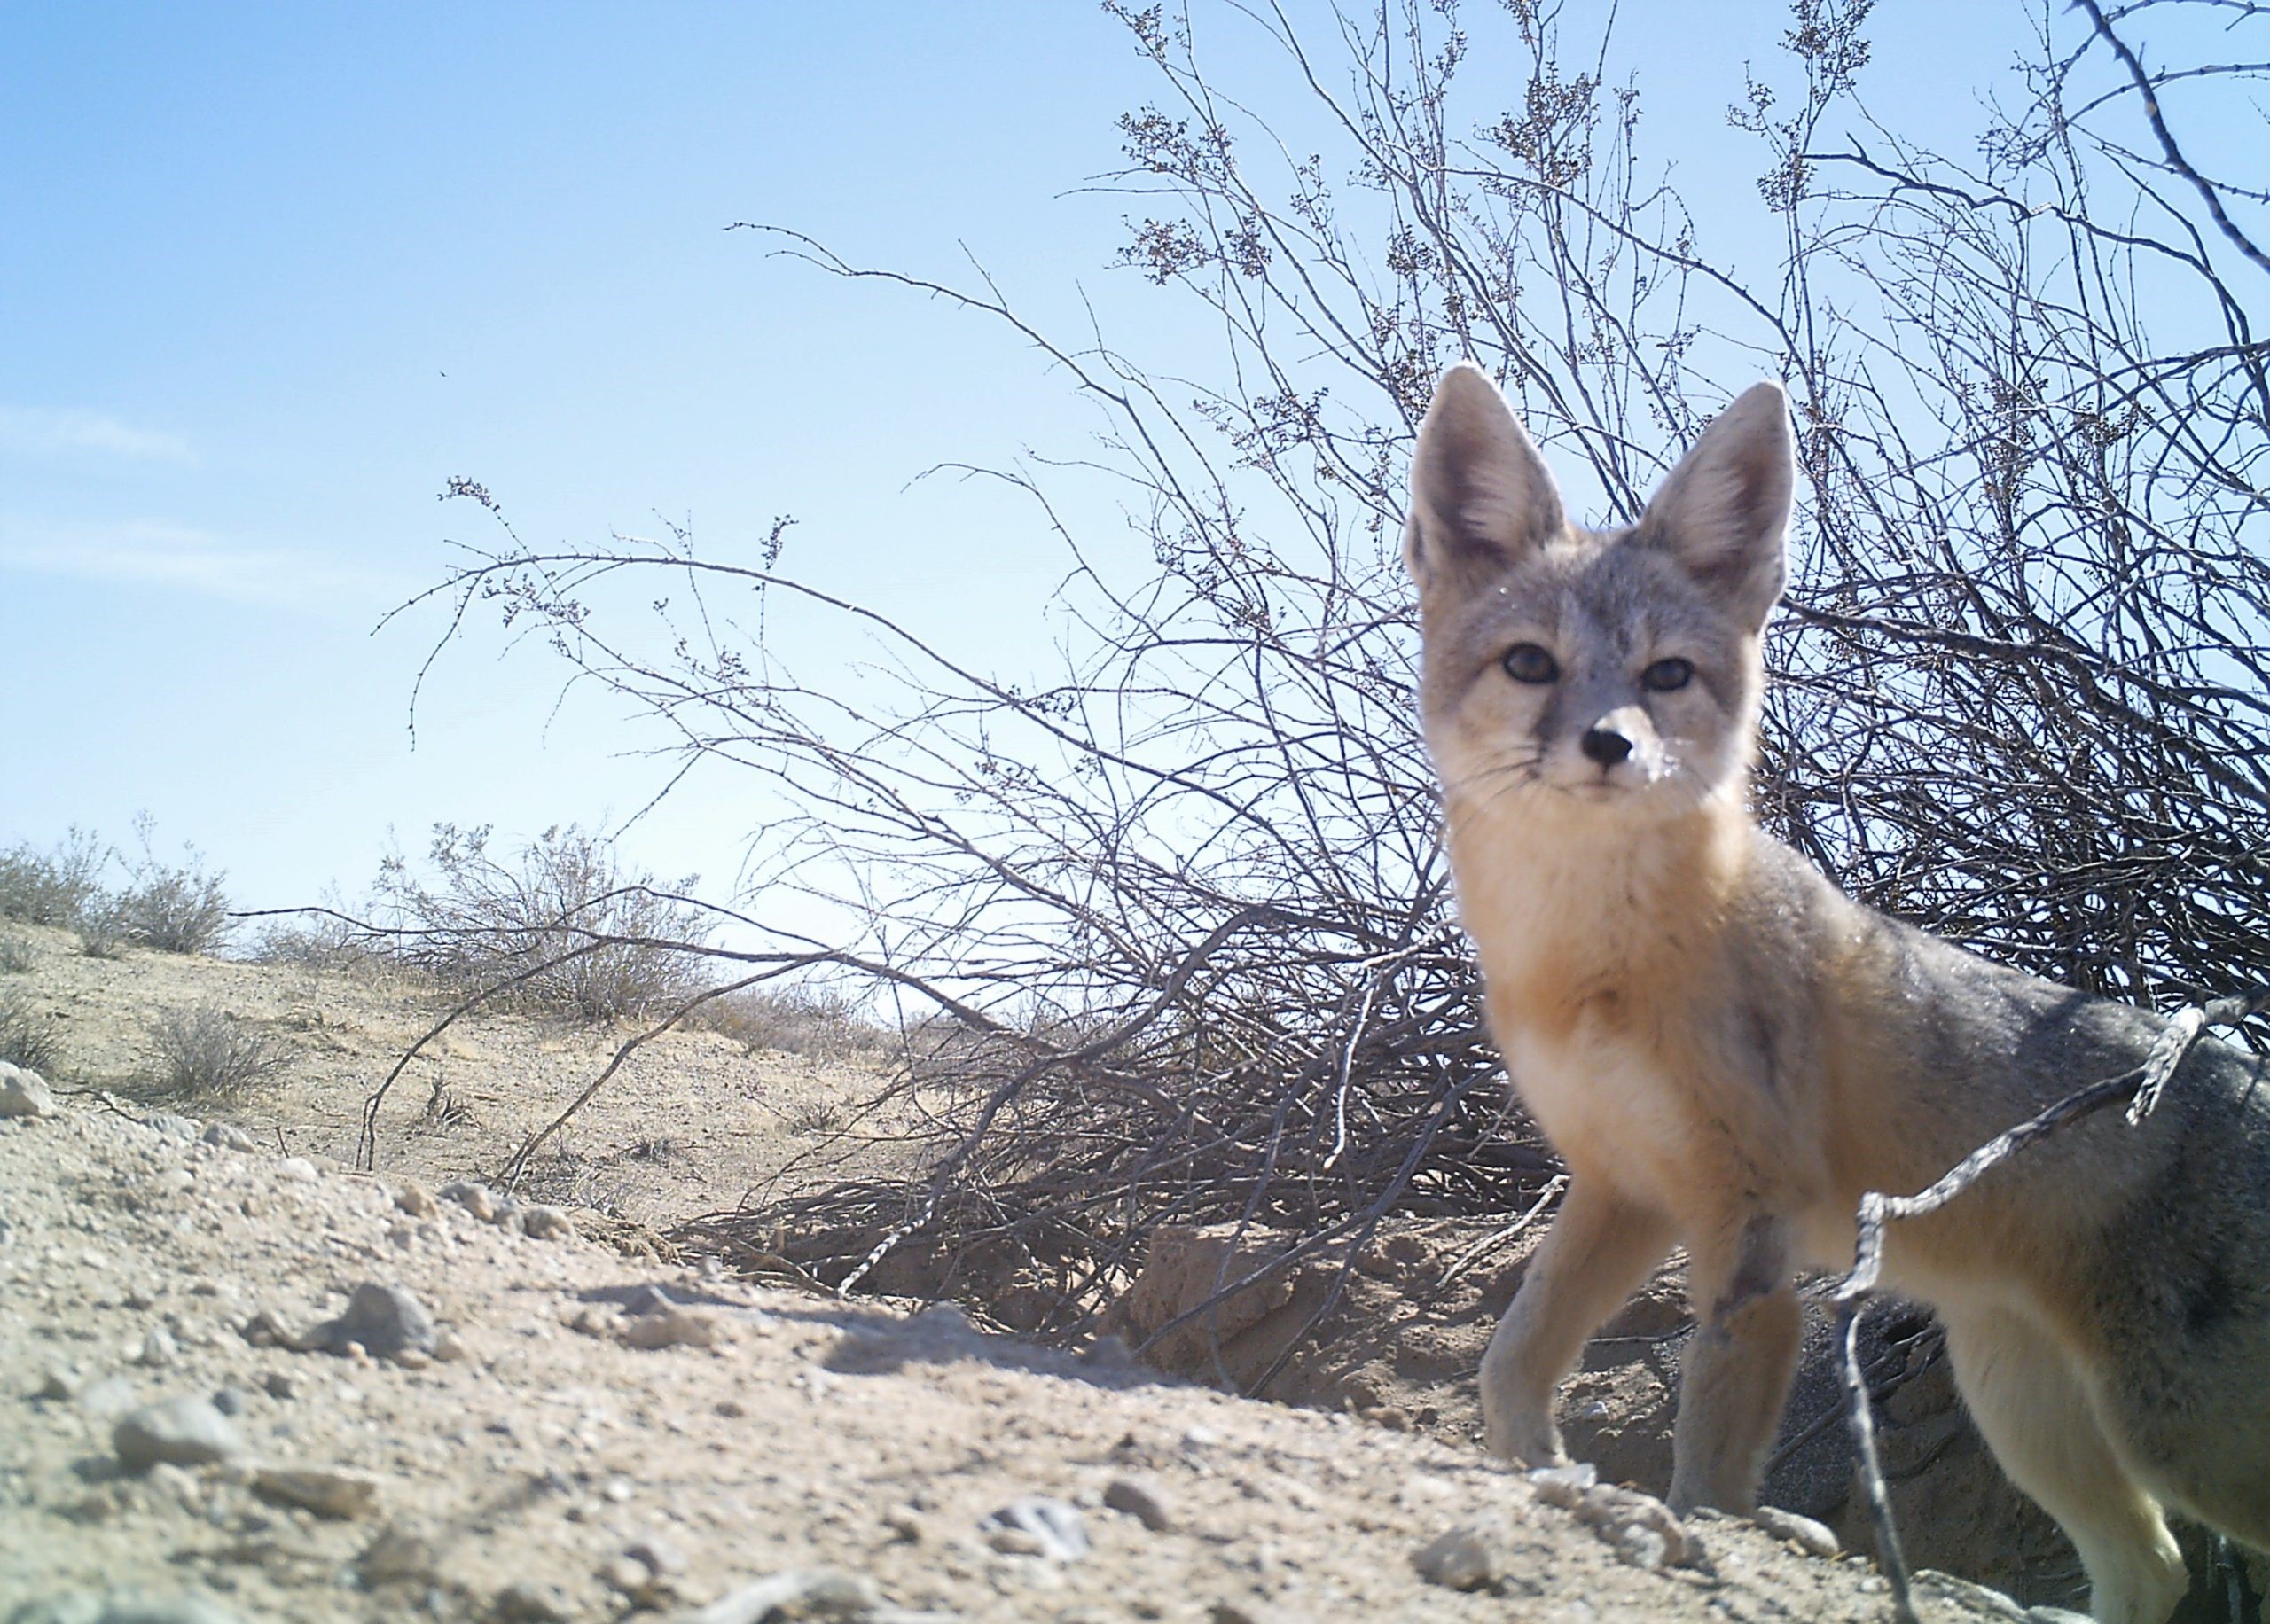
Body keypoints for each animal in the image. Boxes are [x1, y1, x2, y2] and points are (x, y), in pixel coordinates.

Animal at [1401, 360, 2270, 1624]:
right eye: (1529, 663)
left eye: (1667, 675)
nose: (1612, 744)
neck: (1592, 963)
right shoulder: (1623, 1183)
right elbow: (1510, 1351)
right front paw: (1533, 1460)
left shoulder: (1746, 1210)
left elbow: (1712, 1436)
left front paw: (1694, 1532)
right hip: (2021, 1394)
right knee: (2148, 1563)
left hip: (2169, 1426)